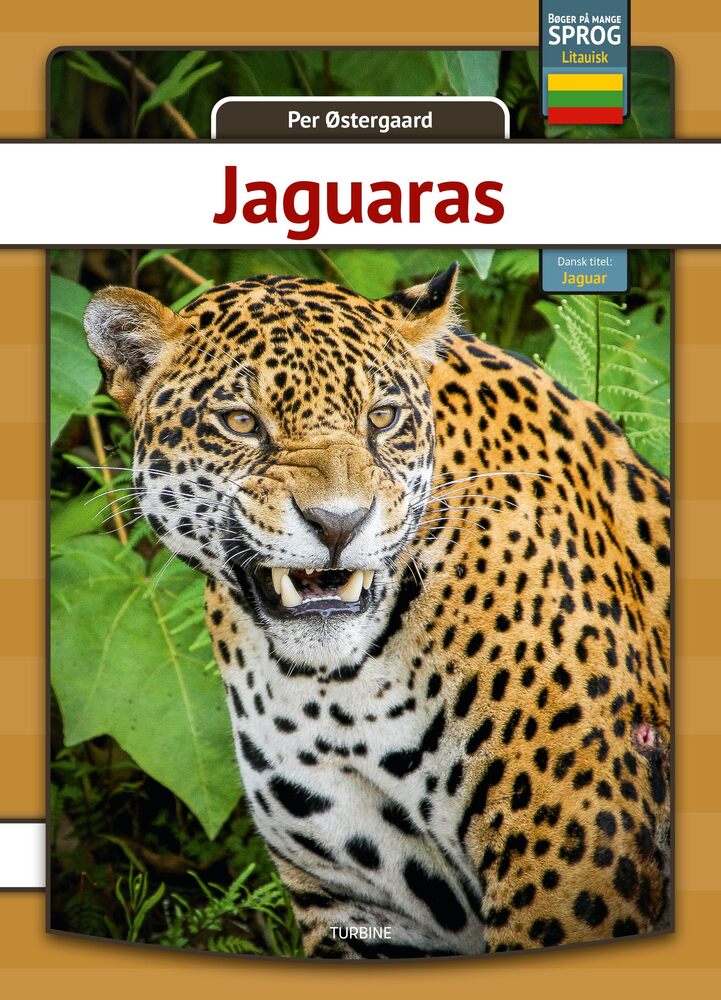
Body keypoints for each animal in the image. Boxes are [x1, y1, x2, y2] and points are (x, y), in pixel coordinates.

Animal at [84, 264, 671, 960]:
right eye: (240, 422)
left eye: (383, 418)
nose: (339, 522)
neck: (340, 692)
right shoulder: (357, 900)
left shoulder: (573, 859)